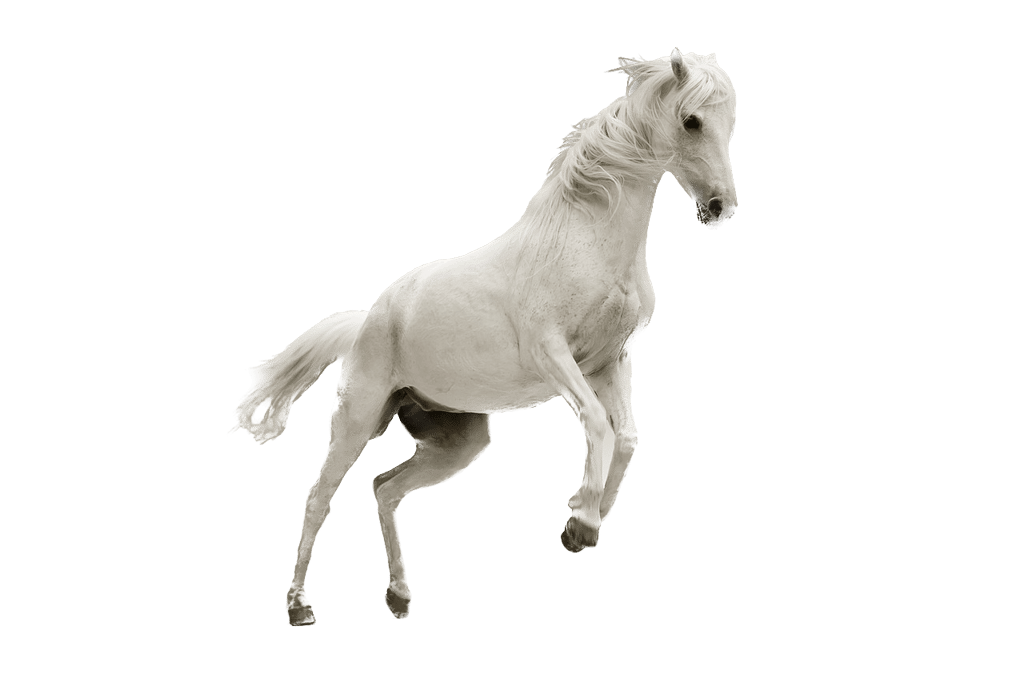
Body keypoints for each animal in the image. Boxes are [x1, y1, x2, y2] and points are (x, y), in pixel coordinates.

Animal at [228, 47, 738, 625]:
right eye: (692, 121)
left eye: (730, 125)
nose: (720, 207)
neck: (586, 239)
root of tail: (369, 321)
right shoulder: (552, 355)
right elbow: (597, 424)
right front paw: (581, 521)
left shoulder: (612, 363)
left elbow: (627, 436)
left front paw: (589, 519)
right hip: (357, 420)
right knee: (318, 498)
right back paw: (299, 606)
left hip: (460, 441)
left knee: (386, 489)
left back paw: (399, 596)